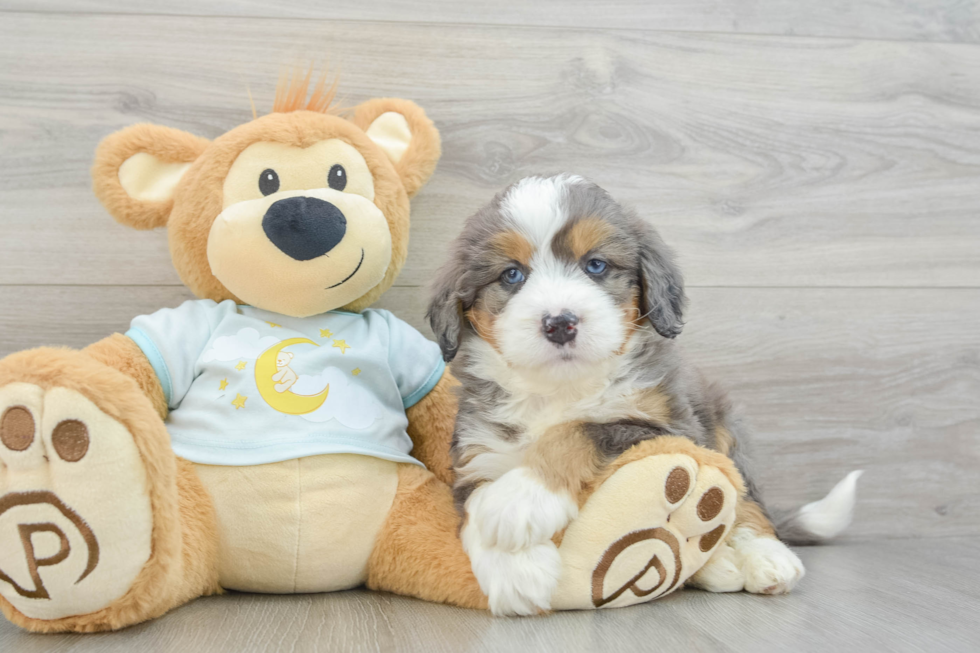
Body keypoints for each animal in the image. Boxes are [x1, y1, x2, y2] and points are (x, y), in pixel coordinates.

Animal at [426, 172, 856, 612]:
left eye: (595, 265)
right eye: (512, 275)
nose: (560, 323)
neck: (562, 388)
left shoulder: (674, 430)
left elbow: (579, 431)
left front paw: (520, 498)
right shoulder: (480, 447)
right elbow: (475, 499)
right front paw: (514, 572)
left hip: (725, 432)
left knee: (746, 500)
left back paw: (764, 556)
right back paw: (716, 567)